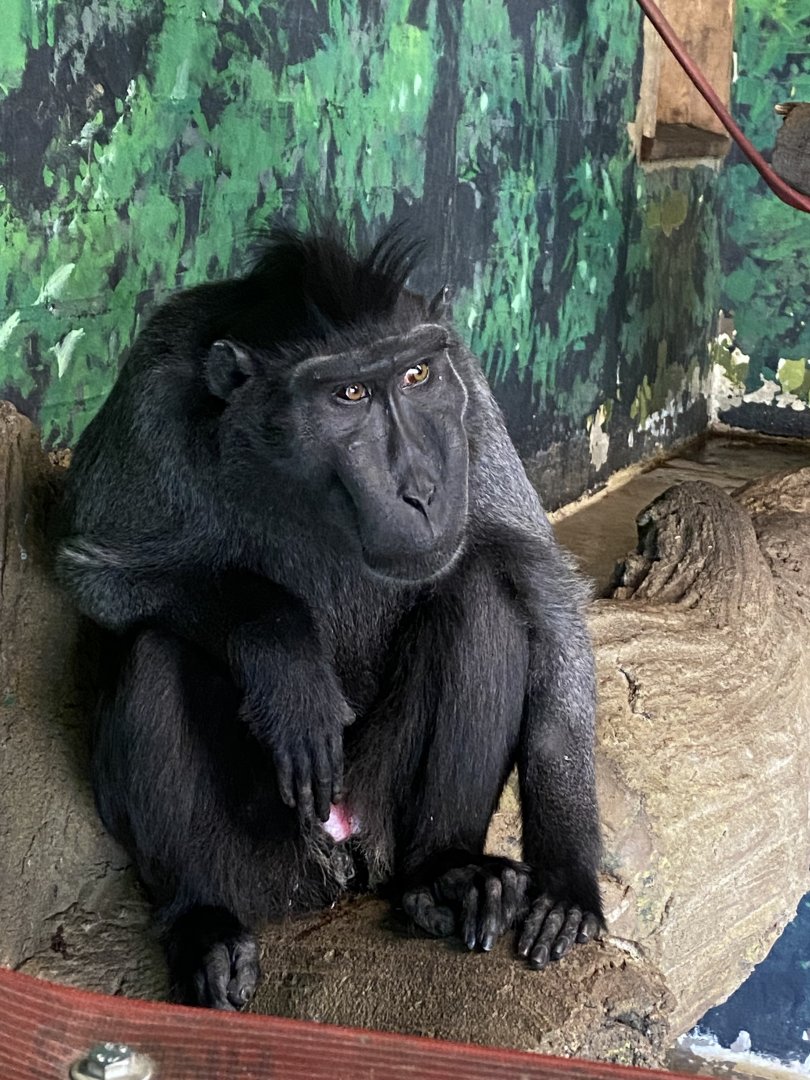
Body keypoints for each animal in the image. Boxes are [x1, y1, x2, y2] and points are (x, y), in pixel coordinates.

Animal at [53, 223, 604, 1009]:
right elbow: (94, 570)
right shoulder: (150, 400)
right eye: (347, 393)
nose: (423, 488)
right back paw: (202, 920)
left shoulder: (467, 389)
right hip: (269, 861)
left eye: (416, 375)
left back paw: (444, 874)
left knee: (481, 595)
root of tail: (341, 858)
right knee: (155, 648)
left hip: (378, 813)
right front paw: (284, 656)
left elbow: (539, 589)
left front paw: (568, 878)